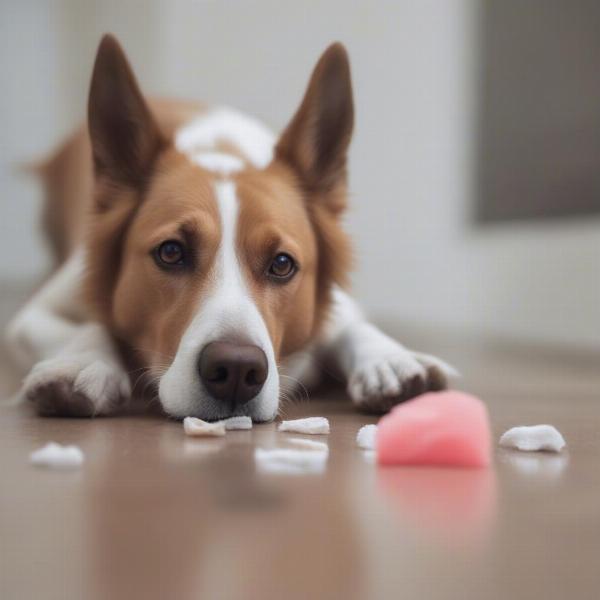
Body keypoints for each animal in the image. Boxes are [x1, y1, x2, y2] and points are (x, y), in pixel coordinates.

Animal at [5, 35, 454, 422]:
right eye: (171, 252)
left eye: (282, 264)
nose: (237, 371)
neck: (220, 152)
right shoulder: (35, 313)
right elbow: (89, 325)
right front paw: (81, 363)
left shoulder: (338, 300)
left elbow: (349, 324)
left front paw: (388, 359)